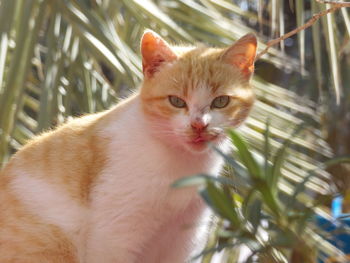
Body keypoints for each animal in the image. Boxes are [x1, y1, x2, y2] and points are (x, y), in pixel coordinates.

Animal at [0, 29, 258, 262]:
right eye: (176, 101)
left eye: (221, 101)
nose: (199, 125)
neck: (182, 166)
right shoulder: (115, 237)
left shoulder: (181, 241)